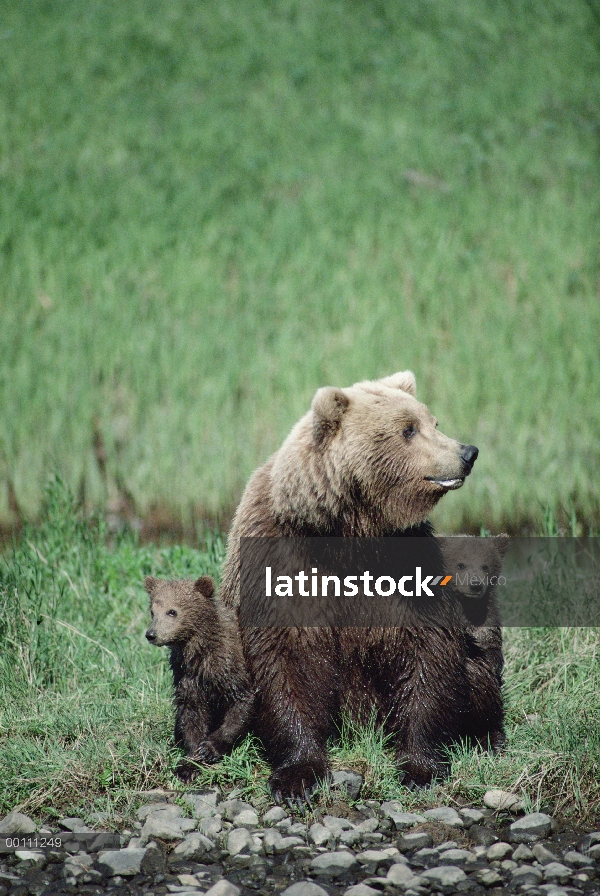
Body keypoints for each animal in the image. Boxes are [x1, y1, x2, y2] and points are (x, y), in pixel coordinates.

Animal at [220, 370, 488, 800]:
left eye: (433, 421)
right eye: (408, 429)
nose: (468, 452)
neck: (351, 532)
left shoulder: (404, 560)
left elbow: (427, 649)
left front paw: (419, 766)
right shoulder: (280, 554)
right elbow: (284, 658)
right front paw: (297, 775)